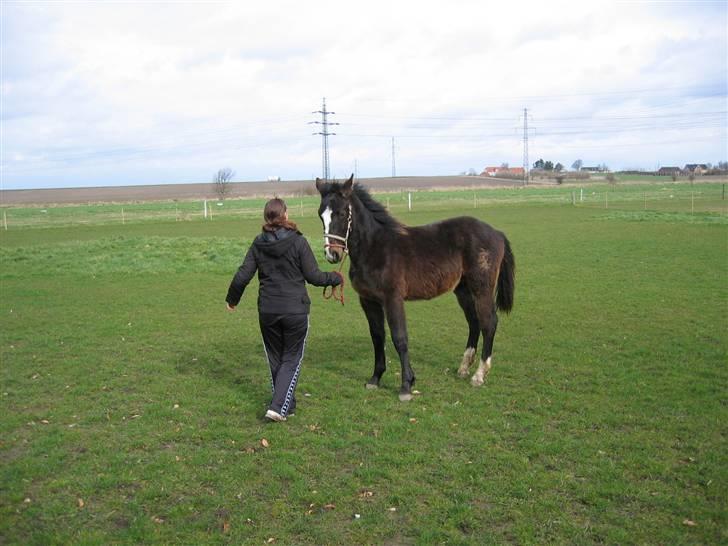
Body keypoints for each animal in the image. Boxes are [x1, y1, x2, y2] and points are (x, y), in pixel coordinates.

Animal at [316, 175, 516, 400]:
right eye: (321, 215)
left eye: (341, 213)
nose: (332, 255)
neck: (375, 248)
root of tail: (496, 232)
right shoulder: (368, 300)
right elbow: (377, 337)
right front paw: (375, 378)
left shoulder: (392, 298)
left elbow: (399, 338)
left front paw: (406, 386)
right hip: (463, 290)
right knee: (473, 322)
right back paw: (464, 368)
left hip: (481, 288)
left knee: (488, 322)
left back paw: (479, 375)